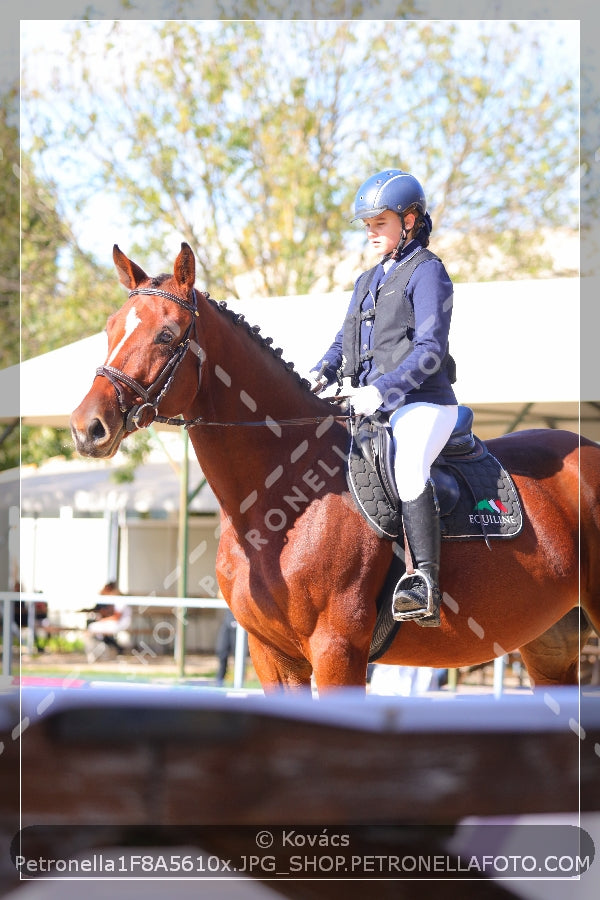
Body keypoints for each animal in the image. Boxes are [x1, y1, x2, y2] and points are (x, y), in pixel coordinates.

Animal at [71, 243, 600, 692]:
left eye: (166, 335)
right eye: (110, 329)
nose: (86, 427)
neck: (281, 502)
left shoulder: (337, 652)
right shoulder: (273, 658)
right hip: (551, 644)